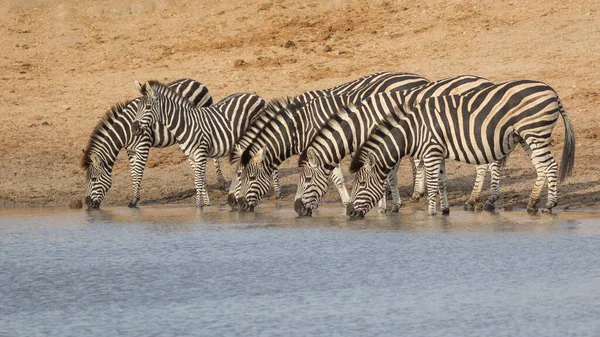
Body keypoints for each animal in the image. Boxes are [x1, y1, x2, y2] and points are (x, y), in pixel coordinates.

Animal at [82, 78, 225, 207]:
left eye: (93, 179)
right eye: (86, 179)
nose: (88, 204)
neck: (125, 129)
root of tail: (198, 82)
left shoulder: (143, 145)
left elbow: (138, 172)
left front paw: (134, 201)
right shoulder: (131, 150)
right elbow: (133, 173)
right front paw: (133, 198)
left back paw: (221, 181)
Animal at [136, 80, 268, 207]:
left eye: (148, 107)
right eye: (138, 108)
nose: (135, 128)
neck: (185, 124)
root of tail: (256, 96)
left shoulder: (200, 153)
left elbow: (199, 181)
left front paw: (199, 207)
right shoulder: (192, 156)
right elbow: (200, 180)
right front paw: (205, 204)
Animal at [227, 71, 428, 210]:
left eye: (247, 177)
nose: (233, 203)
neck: (299, 126)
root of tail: (421, 79)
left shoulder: (327, 147)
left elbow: (336, 178)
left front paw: (345, 202)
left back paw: (416, 192)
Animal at [292, 74, 500, 215]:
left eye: (307, 179)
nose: (296, 208)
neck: (364, 122)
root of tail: (486, 82)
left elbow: (385, 177)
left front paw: (384, 207)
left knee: (488, 163)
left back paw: (479, 200)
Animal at [346, 79, 576, 217]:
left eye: (362, 183)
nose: (348, 212)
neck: (414, 130)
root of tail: (552, 91)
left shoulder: (431, 152)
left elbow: (432, 185)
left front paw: (431, 214)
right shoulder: (437, 152)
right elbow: (441, 182)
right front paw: (444, 211)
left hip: (535, 132)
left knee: (551, 166)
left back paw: (549, 205)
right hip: (526, 137)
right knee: (541, 168)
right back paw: (532, 204)